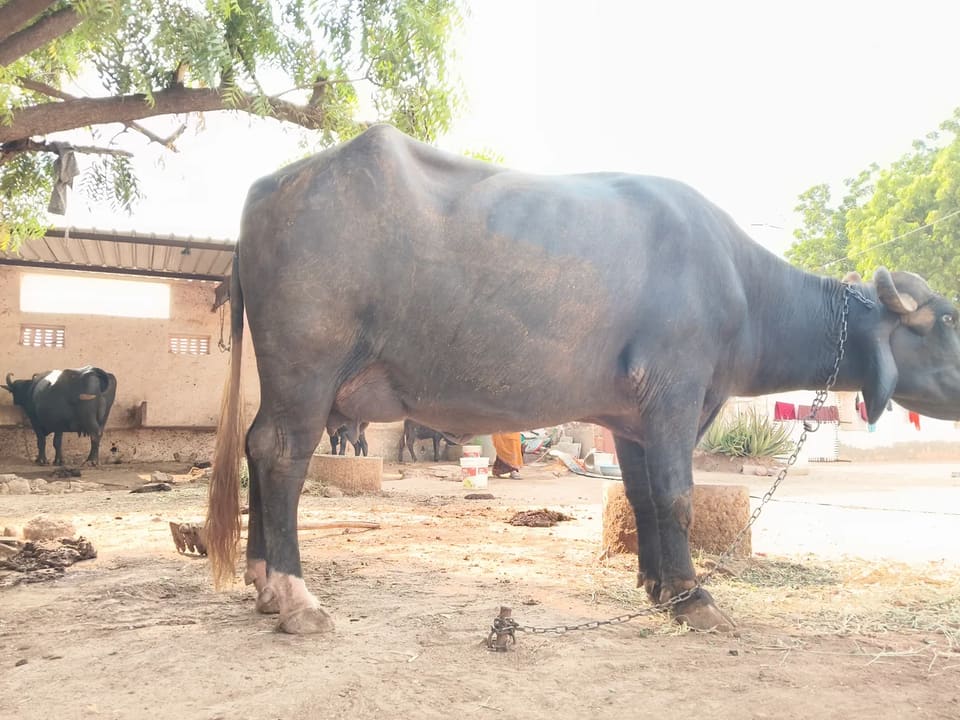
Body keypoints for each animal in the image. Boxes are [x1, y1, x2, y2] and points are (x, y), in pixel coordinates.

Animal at [206, 124, 960, 634]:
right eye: (948, 318)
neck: (744, 289)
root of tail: (267, 191)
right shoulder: (677, 395)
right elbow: (678, 496)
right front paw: (696, 597)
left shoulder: (632, 417)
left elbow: (644, 495)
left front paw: (658, 585)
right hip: (308, 367)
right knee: (281, 453)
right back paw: (294, 596)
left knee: (255, 445)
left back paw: (261, 582)